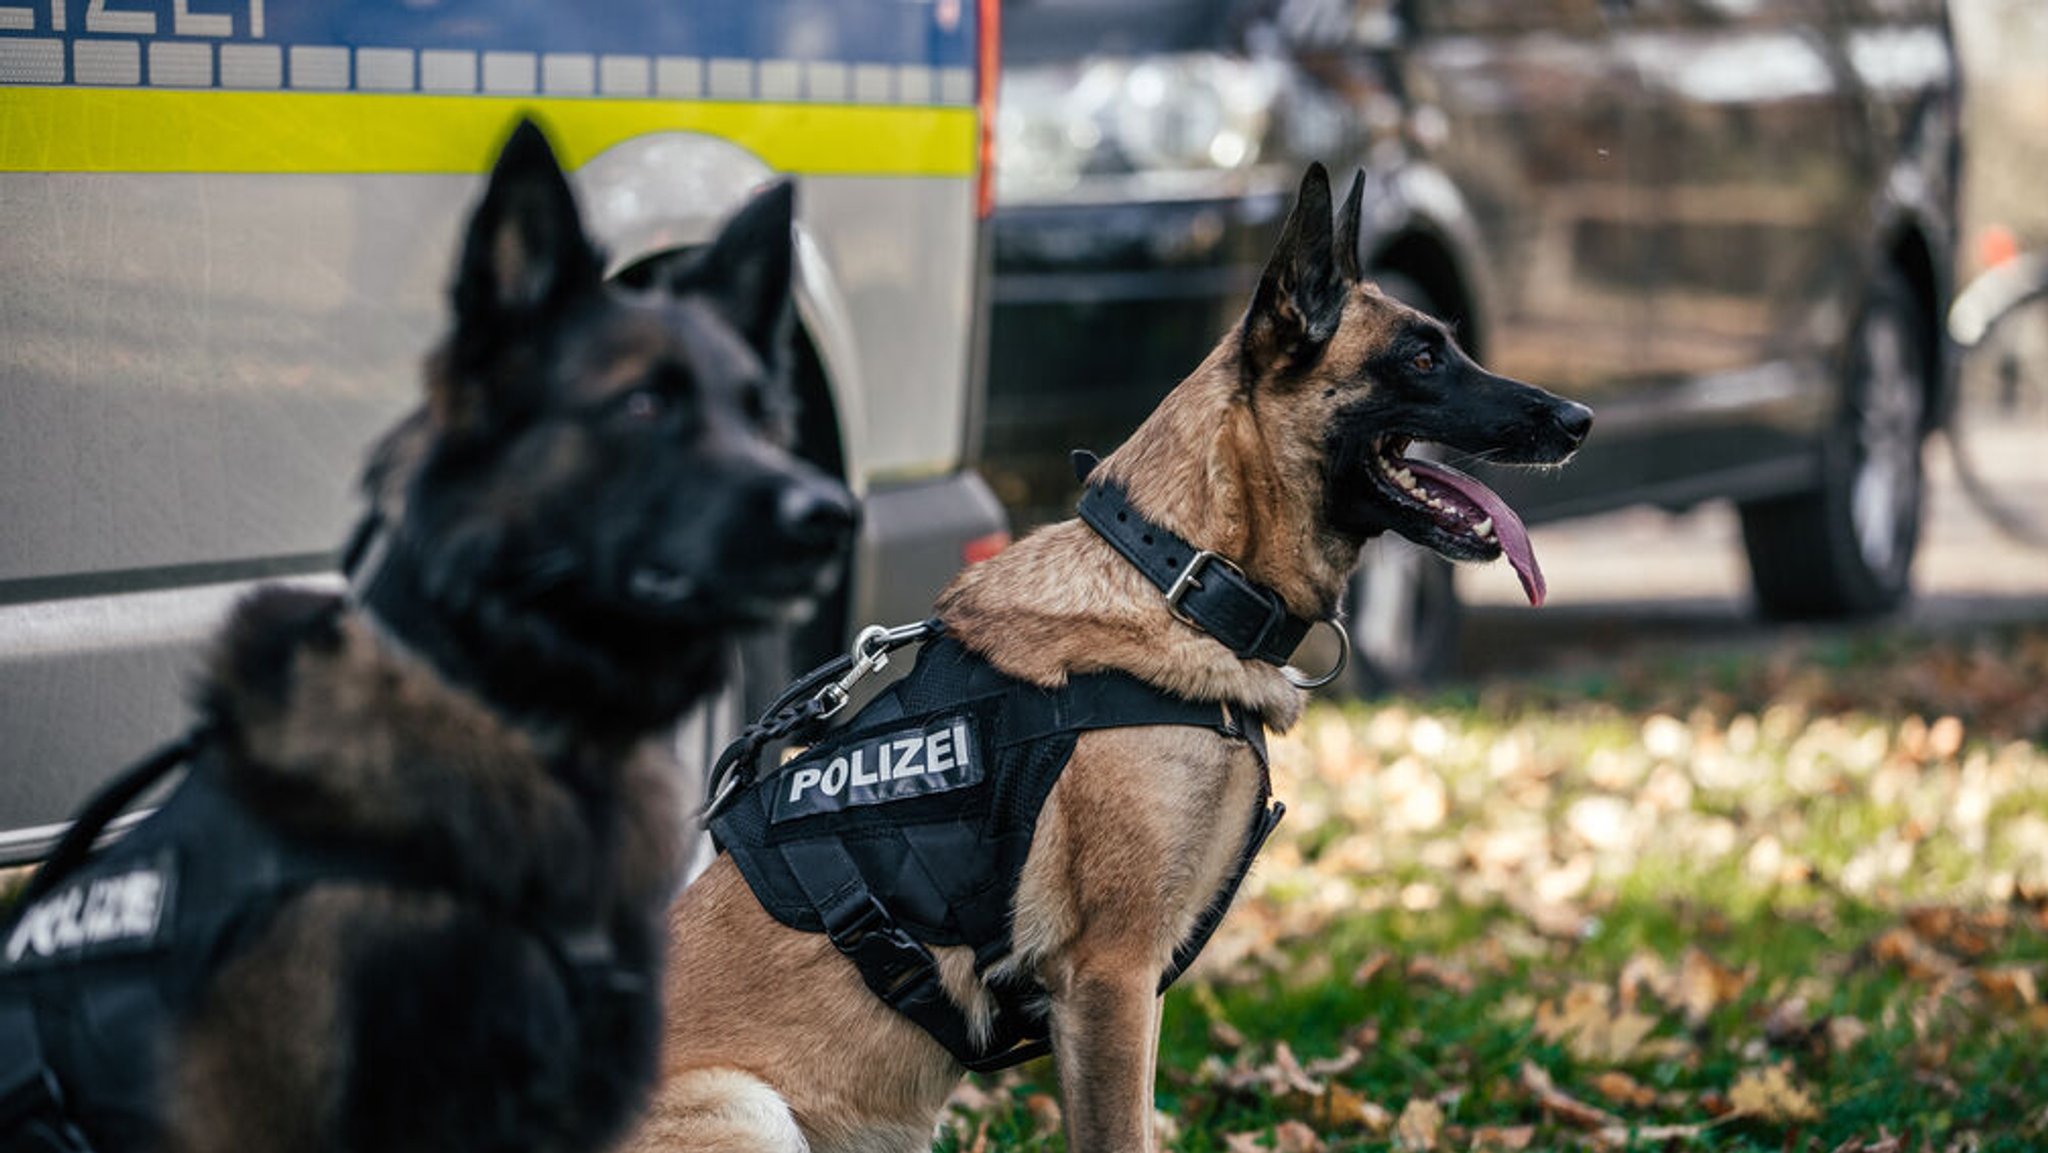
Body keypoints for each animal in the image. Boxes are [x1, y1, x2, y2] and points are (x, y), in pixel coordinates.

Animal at [630, 164, 1589, 1153]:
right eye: (1424, 358)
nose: (1579, 418)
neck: (1180, 575)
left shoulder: (1129, 986)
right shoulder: (1110, 974)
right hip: (747, 1106)